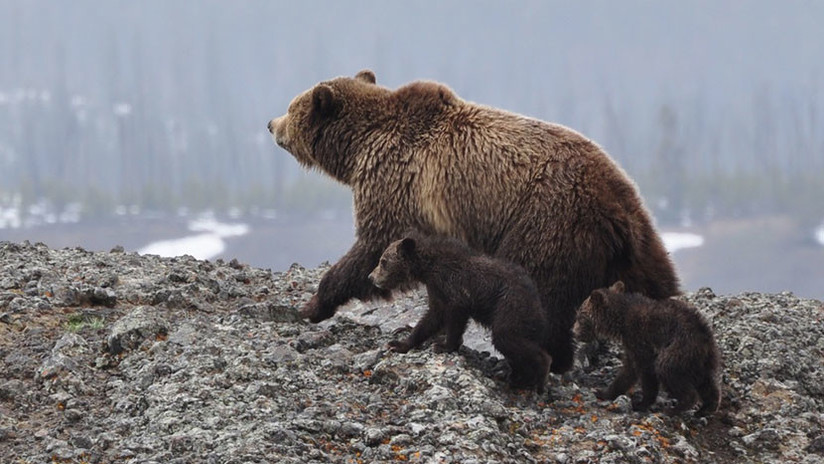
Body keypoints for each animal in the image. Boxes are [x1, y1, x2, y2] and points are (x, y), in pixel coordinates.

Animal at [268, 69, 680, 374]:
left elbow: (372, 246)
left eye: (292, 106)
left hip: (546, 222)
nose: (271, 123)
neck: (358, 149)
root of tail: (615, 207)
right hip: (638, 238)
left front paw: (313, 304)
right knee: (657, 283)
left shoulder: (395, 183)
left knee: (541, 294)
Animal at [368, 232, 552, 392]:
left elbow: (454, 316)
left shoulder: (455, 288)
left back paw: (538, 377)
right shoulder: (436, 290)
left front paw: (444, 345)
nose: (371, 277)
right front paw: (399, 343)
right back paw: (518, 377)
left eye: (383, 261)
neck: (428, 267)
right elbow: (431, 318)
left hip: (510, 306)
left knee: (506, 337)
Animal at [572, 280, 720, 416]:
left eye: (580, 315)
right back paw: (706, 408)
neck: (620, 320)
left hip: (679, 348)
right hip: (699, 361)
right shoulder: (630, 343)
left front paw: (640, 403)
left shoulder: (639, 338)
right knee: (706, 382)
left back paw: (675, 408)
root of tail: (705, 339)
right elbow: (629, 370)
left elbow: (643, 370)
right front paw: (604, 392)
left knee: (667, 369)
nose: (573, 332)